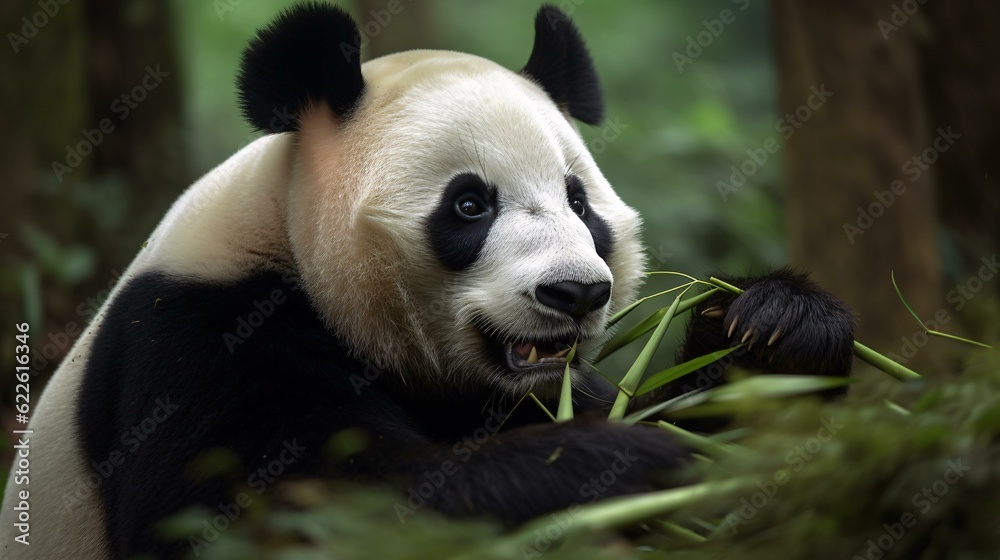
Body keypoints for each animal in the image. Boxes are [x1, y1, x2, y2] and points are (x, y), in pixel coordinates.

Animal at [0, 3, 855, 559]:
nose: (575, 293)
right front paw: (610, 464)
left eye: (580, 201)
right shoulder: (196, 341)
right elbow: (274, 515)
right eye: (470, 204)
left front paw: (777, 328)